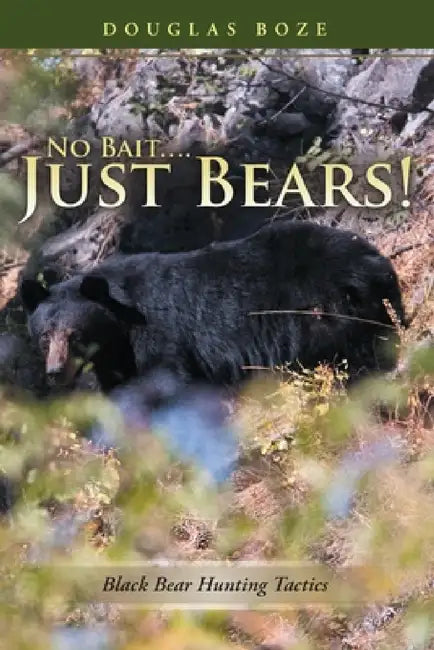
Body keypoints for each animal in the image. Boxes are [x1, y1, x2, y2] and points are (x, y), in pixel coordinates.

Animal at [20, 221, 405, 392]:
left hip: (327, 311)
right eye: (44, 336)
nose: (55, 371)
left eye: (75, 334)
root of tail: (374, 262)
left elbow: (165, 380)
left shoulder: (159, 334)